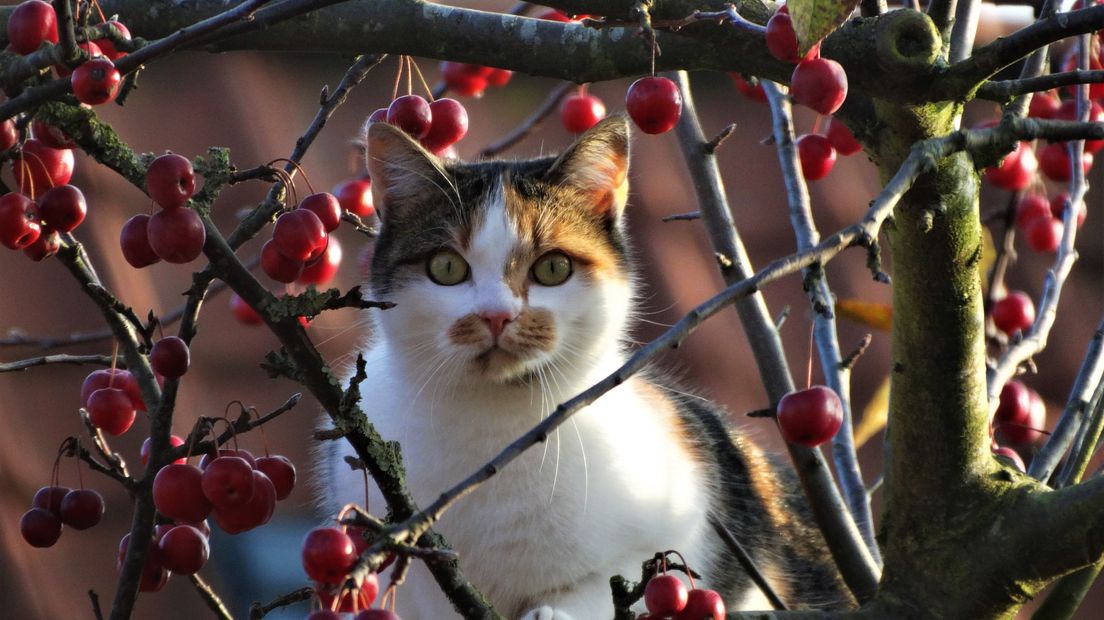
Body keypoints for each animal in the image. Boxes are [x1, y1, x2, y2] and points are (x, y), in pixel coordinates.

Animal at [320, 116, 843, 617]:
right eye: (446, 268)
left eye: (553, 268)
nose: (496, 315)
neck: (495, 429)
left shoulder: (684, 520)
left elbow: (615, 581)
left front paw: (551, 613)